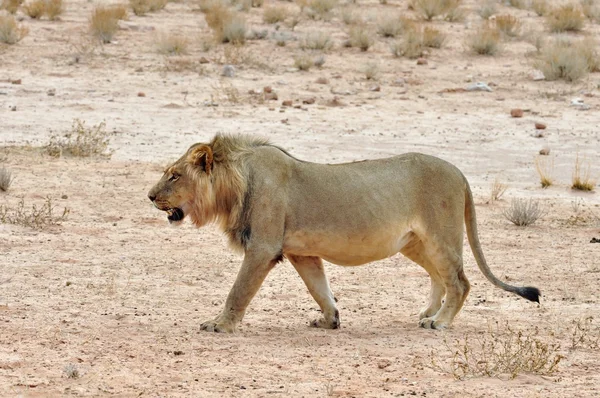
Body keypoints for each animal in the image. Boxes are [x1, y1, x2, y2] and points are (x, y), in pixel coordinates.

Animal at [146, 135, 540, 332]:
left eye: (174, 175)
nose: (149, 196)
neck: (236, 182)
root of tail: (460, 172)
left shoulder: (262, 248)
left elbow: (238, 291)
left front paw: (220, 324)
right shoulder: (301, 252)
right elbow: (319, 289)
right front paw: (329, 320)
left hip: (441, 237)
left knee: (459, 281)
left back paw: (439, 322)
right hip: (415, 243)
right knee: (439, 277)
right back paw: (428, 313)